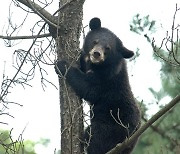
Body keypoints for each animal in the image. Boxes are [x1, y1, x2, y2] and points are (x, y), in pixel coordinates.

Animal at [54, 17, 141, 153]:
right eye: (95, 41)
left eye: (108, 48)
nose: (96, 54)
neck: (97, 66)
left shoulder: (105, 80)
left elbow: (88, 88)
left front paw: (62, 65)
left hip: (111, 128)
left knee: (95, 139)